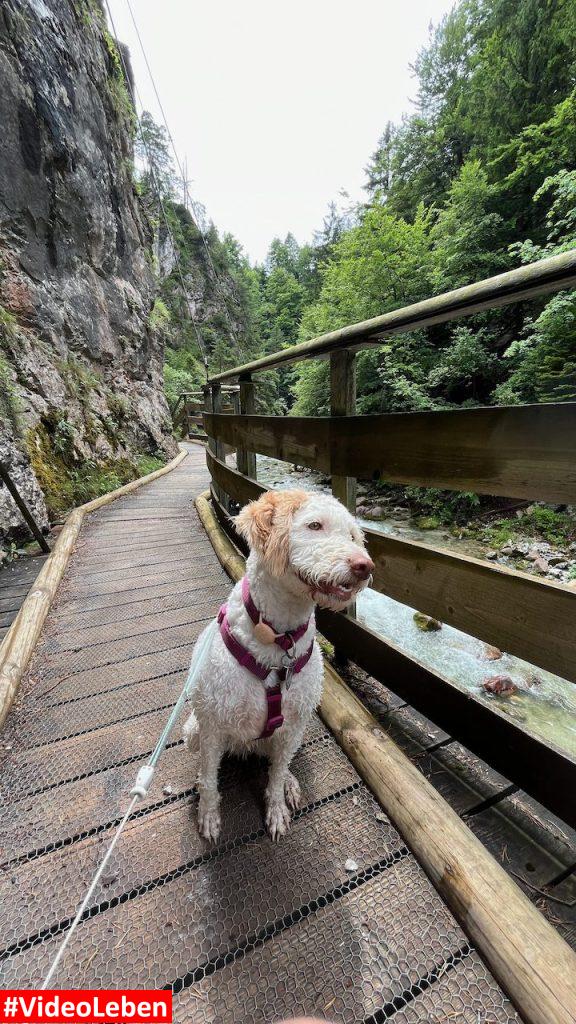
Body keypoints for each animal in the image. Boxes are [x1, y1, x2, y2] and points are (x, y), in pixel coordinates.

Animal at [182, 487, 373, 839]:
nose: (364, 566)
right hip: (194, 731)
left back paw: (289, 784)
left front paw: (276, 807)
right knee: (205, 766)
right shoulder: (213, 726)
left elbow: (276, 775)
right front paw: (209, 815)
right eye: (315, 525)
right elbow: (211, 782)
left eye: (352, 535)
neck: (277, 637)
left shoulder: (293, 725)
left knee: (278, 765)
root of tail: (246, 748)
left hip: (289, 737)